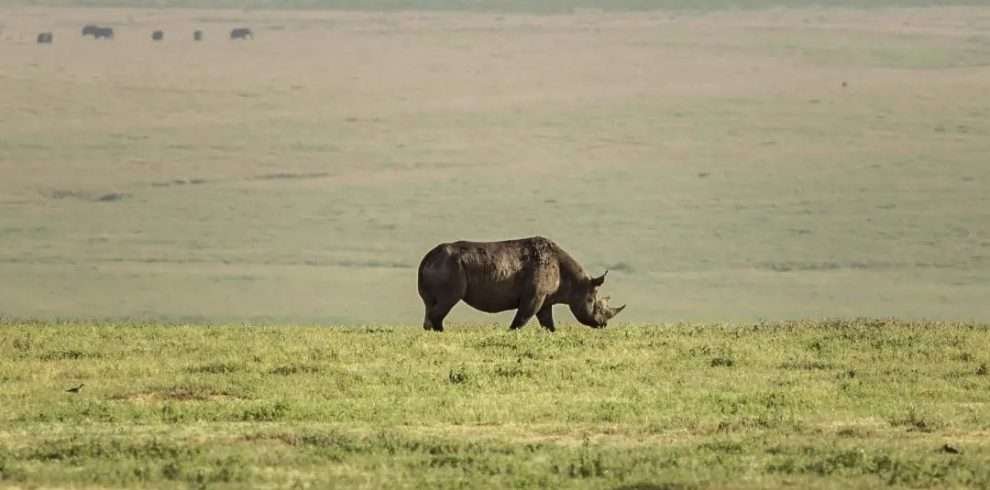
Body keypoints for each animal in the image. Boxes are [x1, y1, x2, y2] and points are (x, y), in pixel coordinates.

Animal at [418, 236, 626, 332]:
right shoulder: (534, 296)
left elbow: (548, 323)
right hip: (450, 268)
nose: (603, 324)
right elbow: (521, 319)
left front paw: (553, 334)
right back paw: (443, 332)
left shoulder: (546, 298)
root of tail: (426, 259)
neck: (575, 282)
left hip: (443, 266)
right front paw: (510, 333)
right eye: (592, 302)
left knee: (430, 305)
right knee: (447, 302)